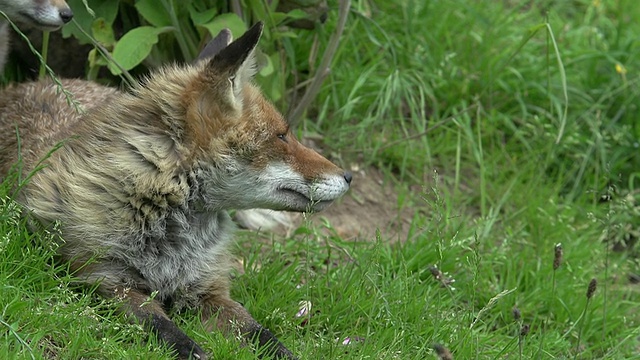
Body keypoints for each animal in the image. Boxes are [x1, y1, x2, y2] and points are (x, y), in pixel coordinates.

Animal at [0, 23, 350, 360]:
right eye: (281, 136)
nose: (347, 176)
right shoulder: (103, 277)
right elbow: (158, 324)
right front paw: (190, 348)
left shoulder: (208, 288)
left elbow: (260, 333)